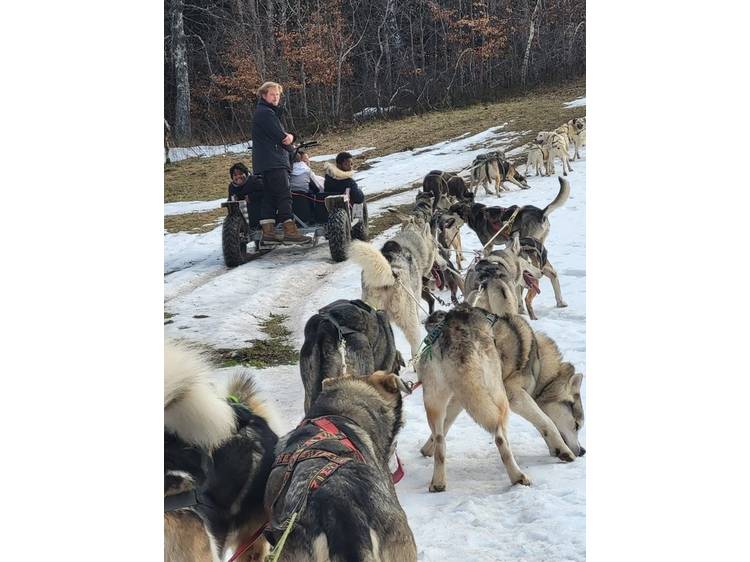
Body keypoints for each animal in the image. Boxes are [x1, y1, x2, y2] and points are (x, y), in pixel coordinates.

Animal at [418, 302, 536, 490]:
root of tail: (454, 333)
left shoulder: (459, 398)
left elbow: (446, 424)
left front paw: (426, 449)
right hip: (499, 396)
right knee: (500, 437)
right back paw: (518, 477)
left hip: (433, 402)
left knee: (440, 441)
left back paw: (438, 483)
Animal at [420, 312, 584, 462]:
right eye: (577, 425)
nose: (583, 451)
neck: (540, 365)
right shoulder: (515, 395)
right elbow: (546, 422)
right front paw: (562, 449)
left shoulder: (461, 398)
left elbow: (445, 424)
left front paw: (428, 448)